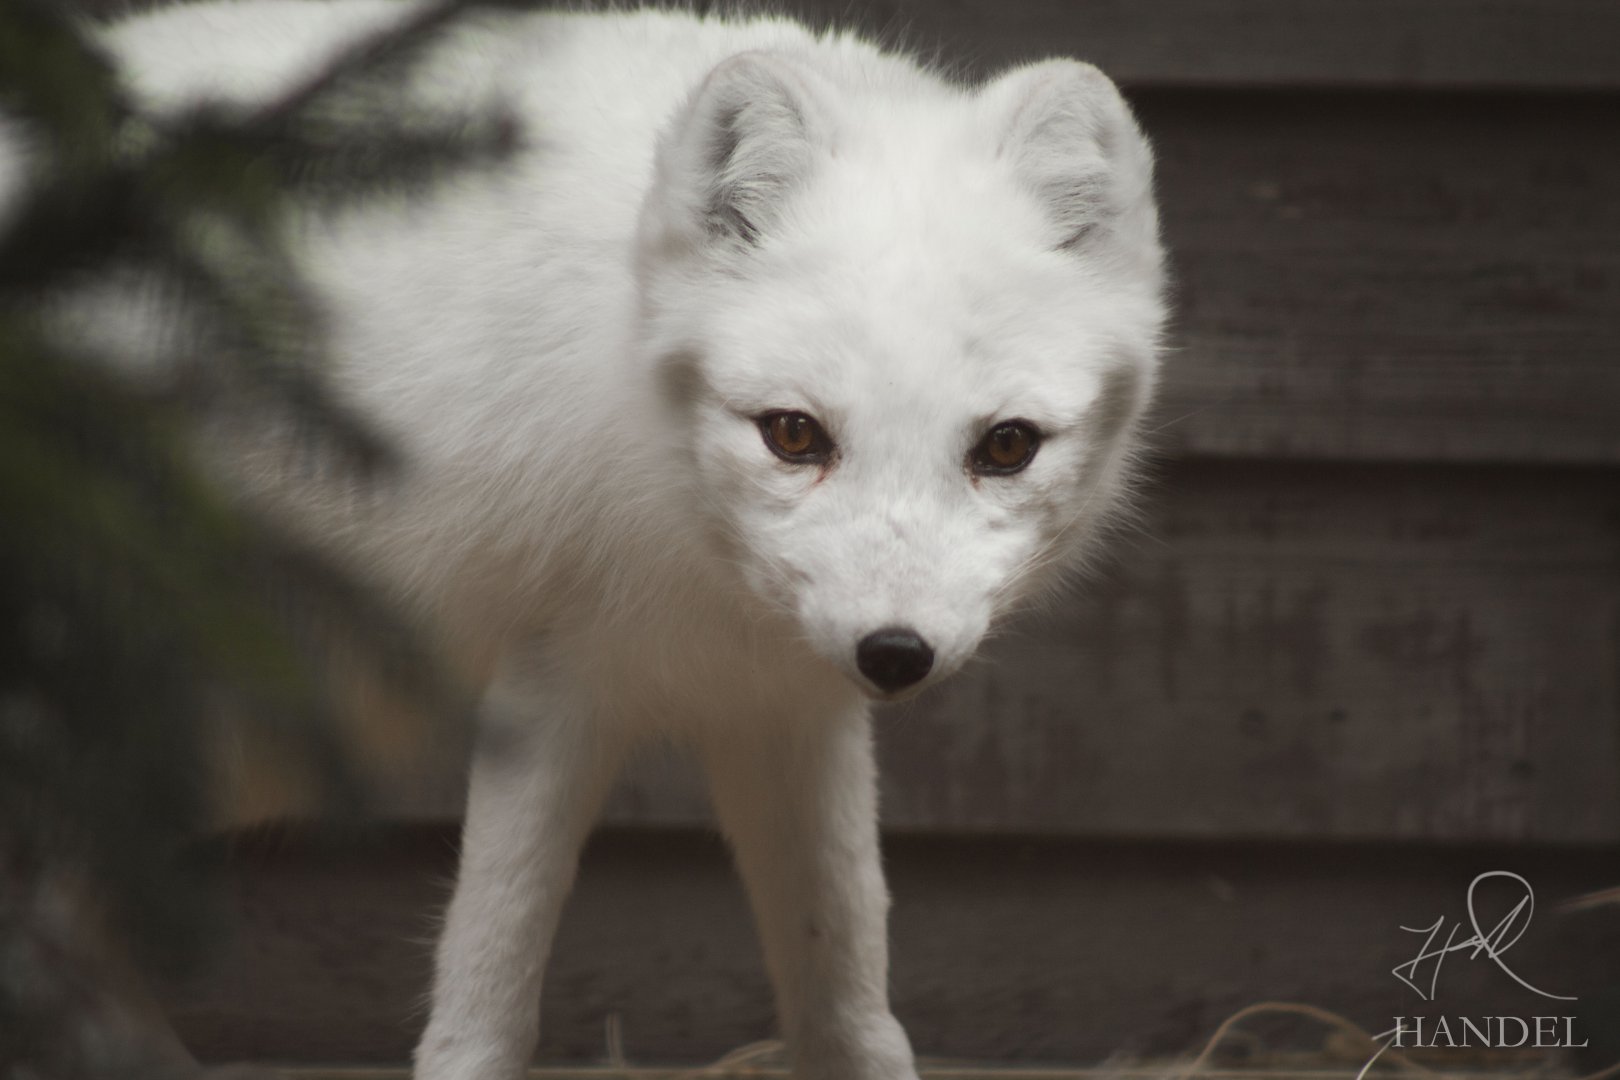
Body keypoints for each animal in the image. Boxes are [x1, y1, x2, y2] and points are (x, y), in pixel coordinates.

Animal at [48, 3, 1169, 1078]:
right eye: (793, 434)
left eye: (1006, 446)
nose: (896, 654)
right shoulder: (550, 691)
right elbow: (482, 1020)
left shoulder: (785, 712)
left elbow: (851, 1008)